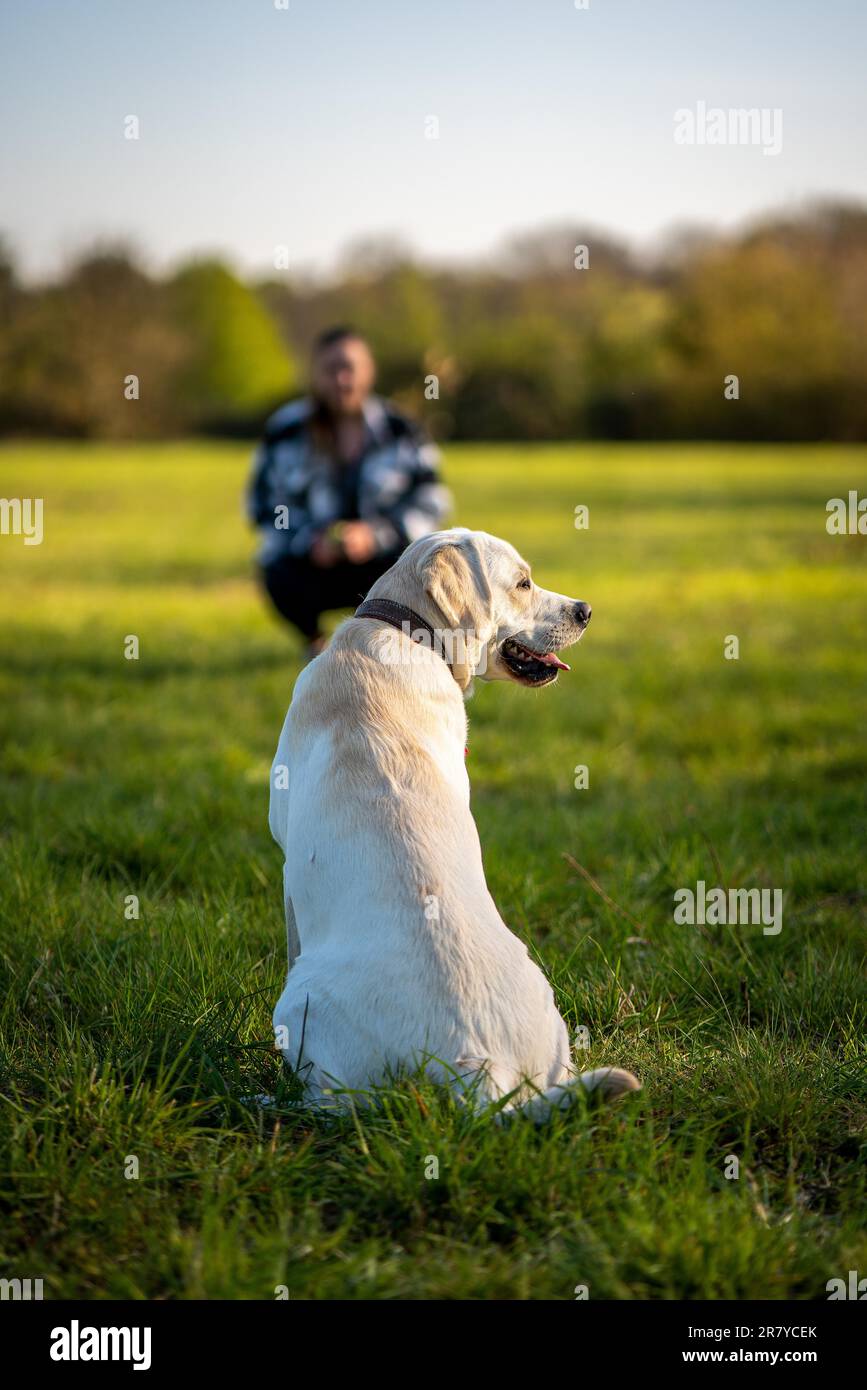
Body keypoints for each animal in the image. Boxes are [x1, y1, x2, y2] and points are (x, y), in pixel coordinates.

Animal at [272, 528, 644, 1117]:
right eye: (523, 583)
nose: (586, 610)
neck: (403, 635)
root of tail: (477, 1068)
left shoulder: (287, 872)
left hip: (298, 1002)